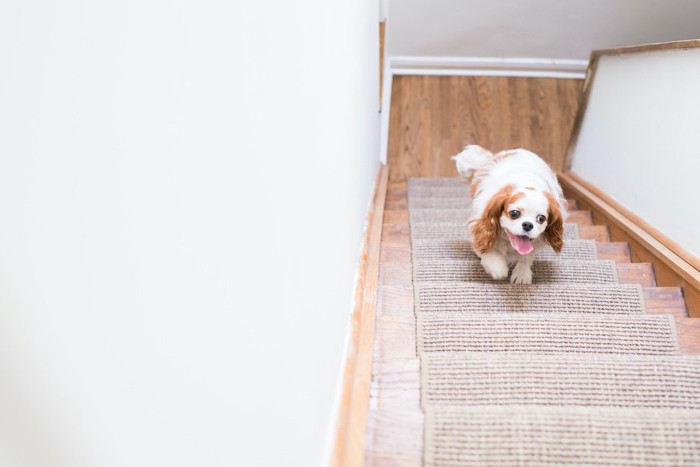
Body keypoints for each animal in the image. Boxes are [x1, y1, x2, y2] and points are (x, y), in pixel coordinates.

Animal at [454, 146, 568, 286]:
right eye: (514, 214)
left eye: (541, 218)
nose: (528, 225)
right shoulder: (478, 224)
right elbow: (487, 250)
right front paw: (498, 267)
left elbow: (527, 256)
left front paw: (522, 273)